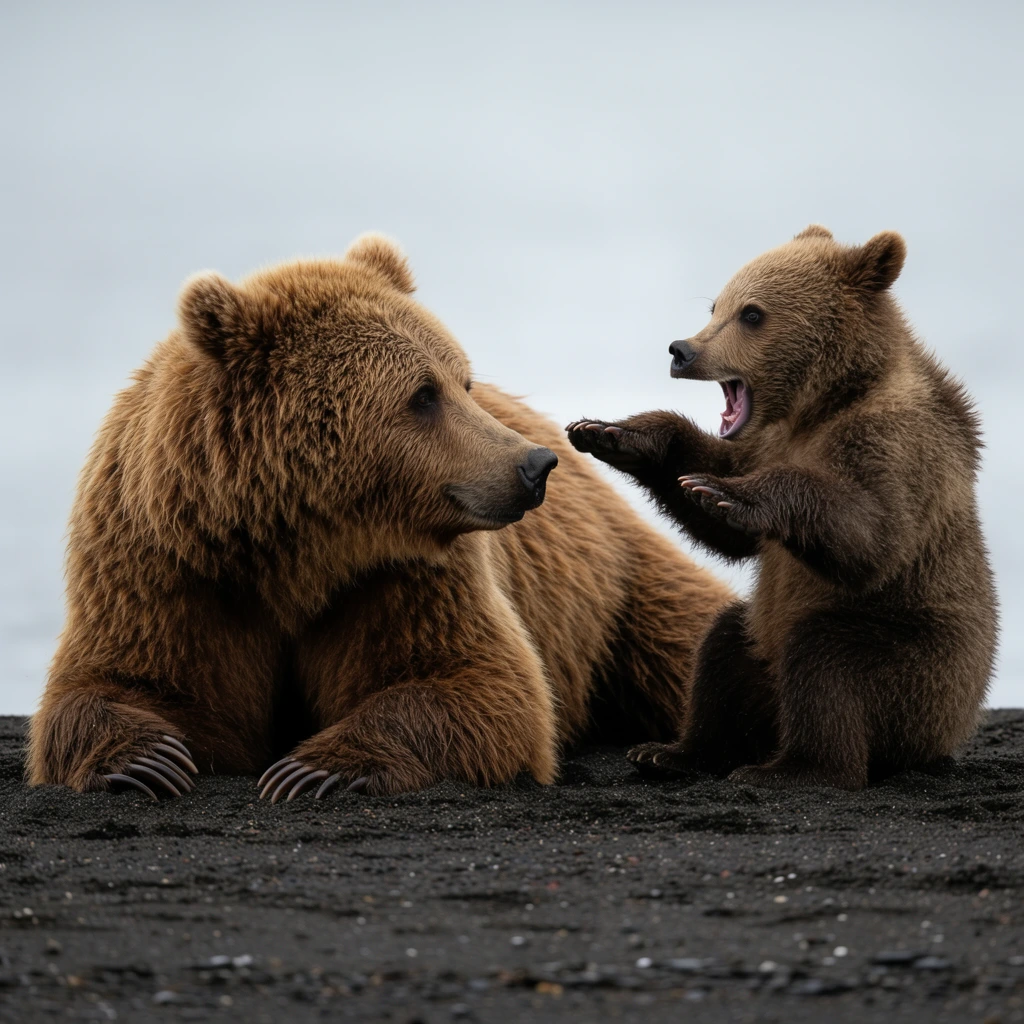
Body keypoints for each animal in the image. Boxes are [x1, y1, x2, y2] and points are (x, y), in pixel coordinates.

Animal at [27, 233, 732, 802]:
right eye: (422, 394)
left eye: (462, 380)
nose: (534, 464)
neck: (299, 544)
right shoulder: (170, 563)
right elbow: (122, 681)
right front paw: (147, 759)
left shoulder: (402, 573)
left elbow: (477, 681)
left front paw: (317, 769)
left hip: (616, 588)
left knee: (687, 636)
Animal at [567, 225, 998, 791]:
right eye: (716, 306)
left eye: (752, 313)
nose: (681, 349)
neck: (822, 404)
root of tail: (953, 728)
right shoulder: (765, 441)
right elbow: (725, 517)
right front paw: (614, 433)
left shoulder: (896, 444)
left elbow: (871, 535)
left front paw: (730, 493)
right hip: (761, 642)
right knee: (722, 648)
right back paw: (674, 751)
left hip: (919, 662)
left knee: (826, 661)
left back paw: (792, 767)